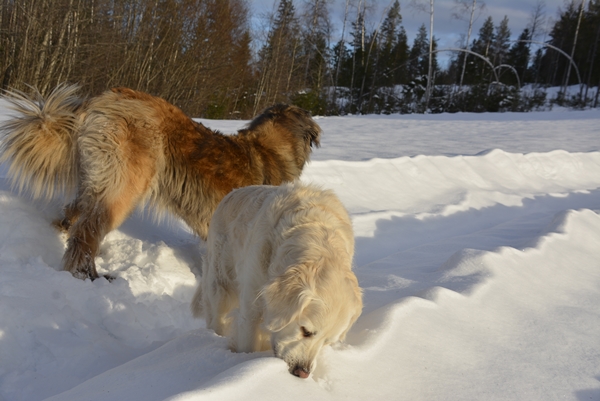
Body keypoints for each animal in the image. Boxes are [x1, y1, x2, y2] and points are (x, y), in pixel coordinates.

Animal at [0, 85, 322, 278]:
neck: (268, 149)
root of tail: (104, 98)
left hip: (95, 179)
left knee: (73, 214)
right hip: (124, 186)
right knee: (86, 233)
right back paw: (89, 276)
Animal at [191, 183, 360, 376]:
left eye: (327, 342)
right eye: (305, 331)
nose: (303, 373)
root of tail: (232, 193)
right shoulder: (251, 306)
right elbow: (248, 341)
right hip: (220, 282)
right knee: (215, 316)